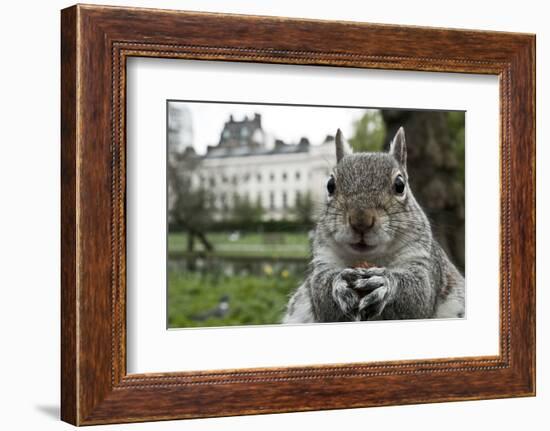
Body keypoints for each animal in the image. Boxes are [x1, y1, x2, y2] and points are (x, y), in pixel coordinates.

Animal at [284, 126, 466, 322]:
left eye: (400, 185)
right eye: (330, 185)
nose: (361, 221)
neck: (371, 259)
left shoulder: (423, 261)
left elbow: (419, 295)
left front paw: (385, 283)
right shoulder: (323, 260)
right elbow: (321, 296)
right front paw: (339, 282)